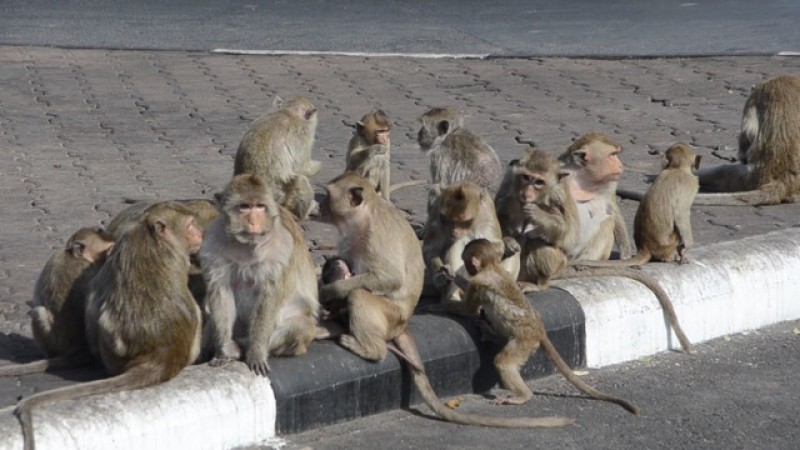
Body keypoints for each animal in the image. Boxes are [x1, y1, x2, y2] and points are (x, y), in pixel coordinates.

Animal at [0, 227, 115, 378]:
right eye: (105, 253)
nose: (109, 259)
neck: (74, 256)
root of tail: (79, 350)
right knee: (39, 312)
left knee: (38, 312)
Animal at [200, 173, 318, 376]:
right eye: (245, 207)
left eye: (260, 206)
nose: (253, 222)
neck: (246, 246)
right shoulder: (213, 243)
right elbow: (221, 292)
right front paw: (222, 353)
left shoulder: (281, 249)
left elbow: (268, 297)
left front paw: (256, 353)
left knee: (300, 326)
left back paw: (242, 346)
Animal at [318, 171, 576, 428]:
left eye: (328, 196)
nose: (319, 206)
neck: (363, 218)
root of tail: (403, 324)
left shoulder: (375, 236)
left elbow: (389, 277)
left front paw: (329, 290)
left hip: (392, 315)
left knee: (359, 295)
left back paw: (370, 349)